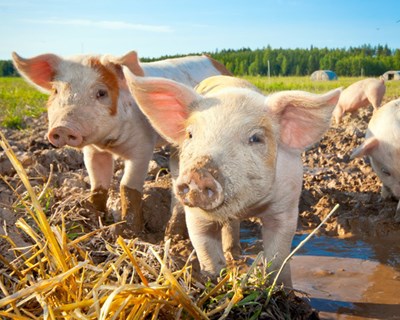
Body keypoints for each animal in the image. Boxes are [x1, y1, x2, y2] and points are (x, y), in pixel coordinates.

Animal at [12, 50, 230, 235]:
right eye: (56, 91)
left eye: (101, 93)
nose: (63, 128)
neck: (109, 143)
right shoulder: (93, 151)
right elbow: (98, 185)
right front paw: (96, 219)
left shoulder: (143, 147)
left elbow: (128, 187)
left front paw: (129, 232)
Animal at [126, 74, 340, 286]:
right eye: (190, 134)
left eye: (256, 138)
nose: (198, 174)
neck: (247, 206)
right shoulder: (196, 215)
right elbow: (205, 248)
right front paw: (215, 279)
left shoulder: (286, 205)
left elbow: (278, 256)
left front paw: (282, 288)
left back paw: (235, 253)